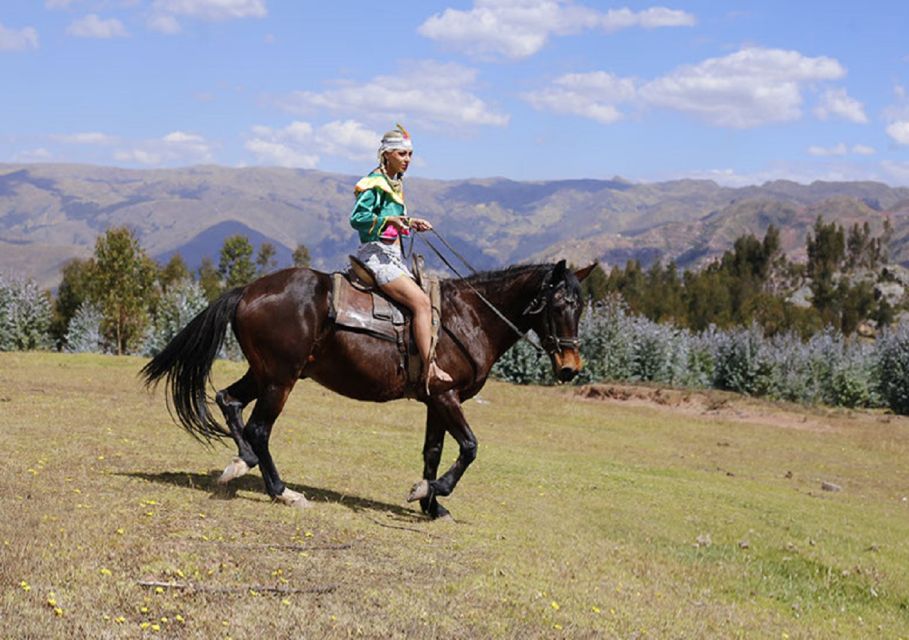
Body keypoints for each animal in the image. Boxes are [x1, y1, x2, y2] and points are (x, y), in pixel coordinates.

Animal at [140, 260, 596, 520]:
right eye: (559, 305)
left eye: (582, 306)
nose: (570, 367)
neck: (468, 318)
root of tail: (248, 291)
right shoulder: (446, 397)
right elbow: (469, 448)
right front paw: (429, 492)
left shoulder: (435, 400)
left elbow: (433, 451)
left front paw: (431, 505)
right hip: (280, 379)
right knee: (259, 429)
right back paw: (283, 491)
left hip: (266, 373)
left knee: (229, 401)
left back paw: (241, 463)